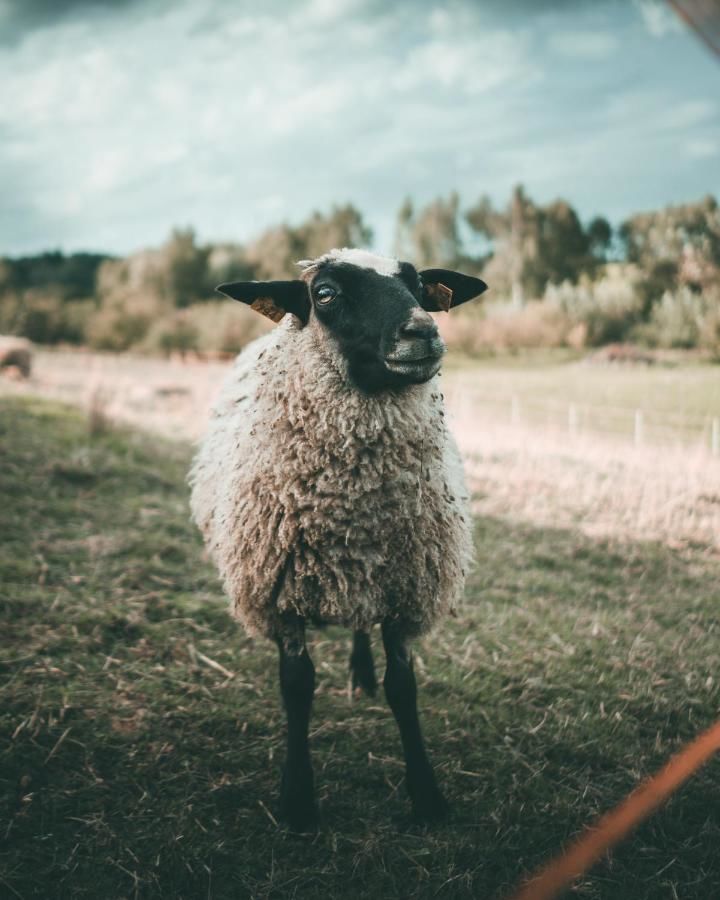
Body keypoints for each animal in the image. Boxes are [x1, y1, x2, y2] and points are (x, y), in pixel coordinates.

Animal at [188, 246, 486, 828]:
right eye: (324, 293)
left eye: (418, 284)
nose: (423, 331)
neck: (354, 506)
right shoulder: (280, 595)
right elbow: (297, 688)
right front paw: (298, 801)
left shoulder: (403, 590)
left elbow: (403, 689)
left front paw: (427, 794)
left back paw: (361, 674)